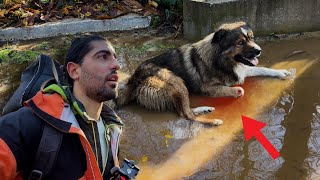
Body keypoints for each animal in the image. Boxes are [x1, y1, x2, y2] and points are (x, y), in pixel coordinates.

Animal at [114, 21, 290, 125]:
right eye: (240, 42)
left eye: (252, 39)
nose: (259, 51)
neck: (221, 58)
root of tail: (133, 79)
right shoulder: (208, 88)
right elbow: (239, 89)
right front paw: (235, 91)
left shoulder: (243, 69)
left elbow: (263, 68)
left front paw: (282, 72)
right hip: (175, 80)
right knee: (185, 114)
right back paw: (212, 121)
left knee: (183, 110)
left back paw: (204, 109)